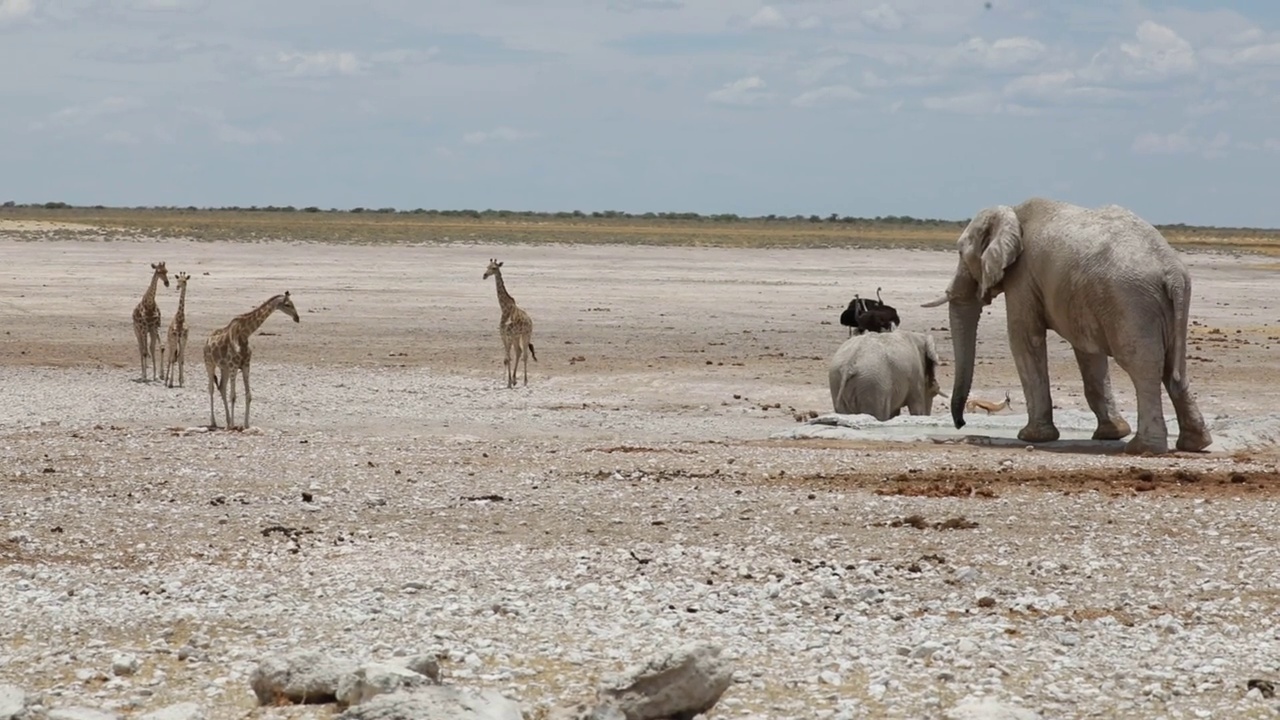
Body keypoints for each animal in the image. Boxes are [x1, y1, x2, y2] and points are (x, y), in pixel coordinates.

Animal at [200, 289, 298, 427]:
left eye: (293, 304)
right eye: (287, 305)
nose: (297, 318)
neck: (244, 334)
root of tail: (206, 341)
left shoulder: (245, 365)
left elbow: (248, 395)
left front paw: (245, 424)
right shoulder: (234, 365)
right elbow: (233, 396)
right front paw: (234, 425)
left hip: (224, 368)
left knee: (222, 388)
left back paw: (228, 421)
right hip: (209, 364)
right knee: (211, 388)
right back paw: (214, 422)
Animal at [481, 257, 537, 386]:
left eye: (494, 268)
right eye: (487, 266)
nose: (484, 275)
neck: (504, 309)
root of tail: (530, 320)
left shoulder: (509, 335)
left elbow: (508, 358)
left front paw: (509, 382)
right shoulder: (503, 334)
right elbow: (506, 359)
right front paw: (507, 381)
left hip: (526, 334)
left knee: (525, 354)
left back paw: (525, 381)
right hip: (517, 336)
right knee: (519, 352)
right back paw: (515, 379)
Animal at [921, 197, 1208, 453]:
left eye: (960, 252)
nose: (961, 423)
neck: (1013, 211)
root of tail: (1172, 272)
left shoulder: (1023, 277)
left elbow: (1024, 339)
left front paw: (1031, 437)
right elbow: (1089, 353)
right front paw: (1111, 433)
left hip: (1133, 302)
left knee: (1143, 367)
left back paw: (1143, 449)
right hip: (1164, 305)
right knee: (1174, 369)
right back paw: (1196, 444)